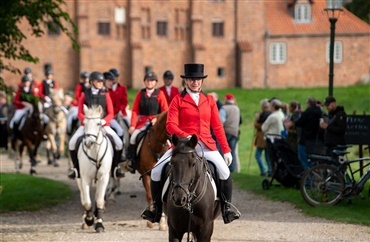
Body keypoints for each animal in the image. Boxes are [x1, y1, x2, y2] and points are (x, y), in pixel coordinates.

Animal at [76, 104, 112, 233]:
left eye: (98, 123)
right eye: (84, 123)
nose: (88, 143)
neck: (95, 151)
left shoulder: (104, 178)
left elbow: (100, 200)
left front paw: (99, 224)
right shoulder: (85, 178)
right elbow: (87, 202)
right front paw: (89, 220)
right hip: (79, 179)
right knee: (83, 197)